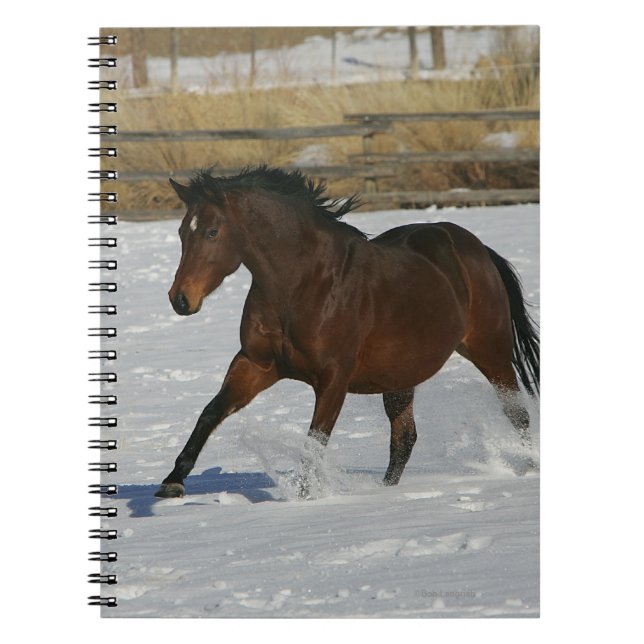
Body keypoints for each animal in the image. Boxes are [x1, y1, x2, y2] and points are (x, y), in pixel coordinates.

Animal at [154, 166, 539, 499]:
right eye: (181, 232)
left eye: (212, 232)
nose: (180, 299)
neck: (302, 283)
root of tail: (476, 249)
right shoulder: (256, 364)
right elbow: (210, 412)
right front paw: (172, 482)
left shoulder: (333, 378)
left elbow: (315, 441)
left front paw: (305, 497)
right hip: (400, 377)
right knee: (404, 439)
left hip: (491, 353)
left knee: (517, 415)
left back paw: (529, 470)